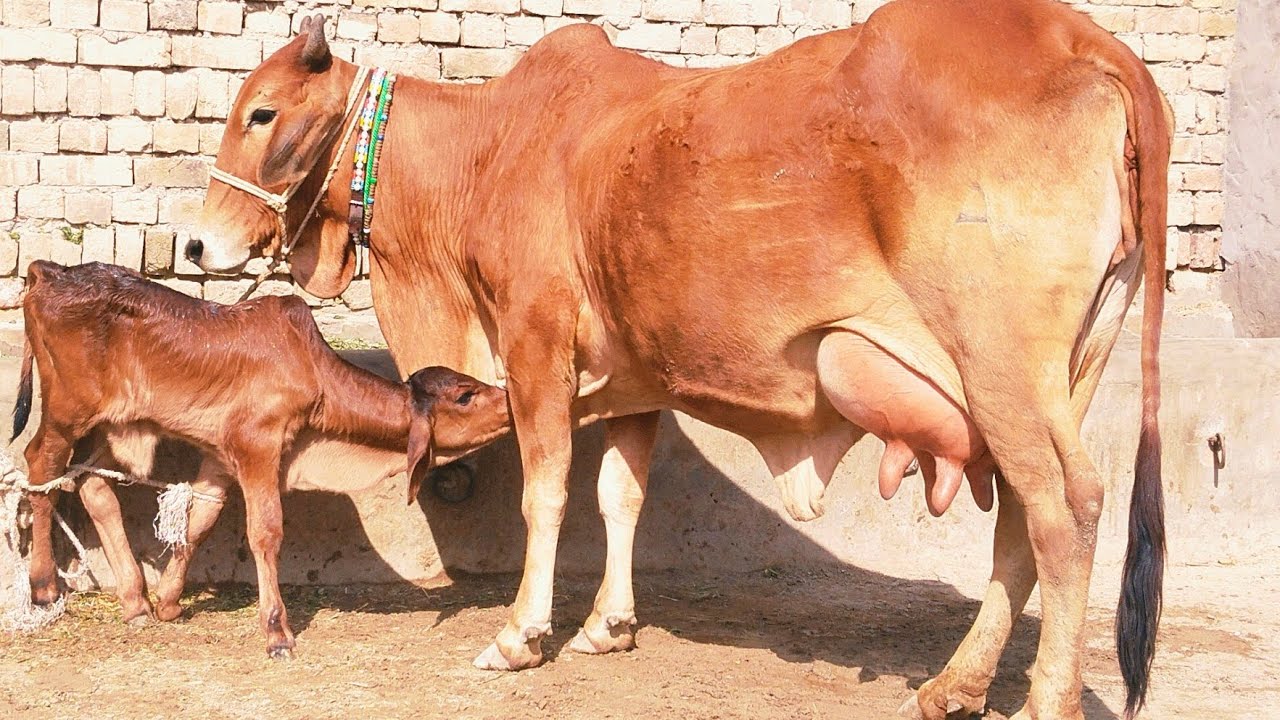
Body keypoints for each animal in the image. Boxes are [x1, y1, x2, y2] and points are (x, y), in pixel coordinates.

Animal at [189, 1, 1171, 716]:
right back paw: (953, 686)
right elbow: (620, 497)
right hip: (1057, 376)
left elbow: (547, 491)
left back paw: (1040, 699)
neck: (485, 151)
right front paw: (607, 625)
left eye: (262, 112)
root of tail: (1085, 40)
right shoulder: (632, 380)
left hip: (1004, 369)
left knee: (1067, 509)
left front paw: (521, 635)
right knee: (1022, 522)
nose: (196, 244)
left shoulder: (536, 345)